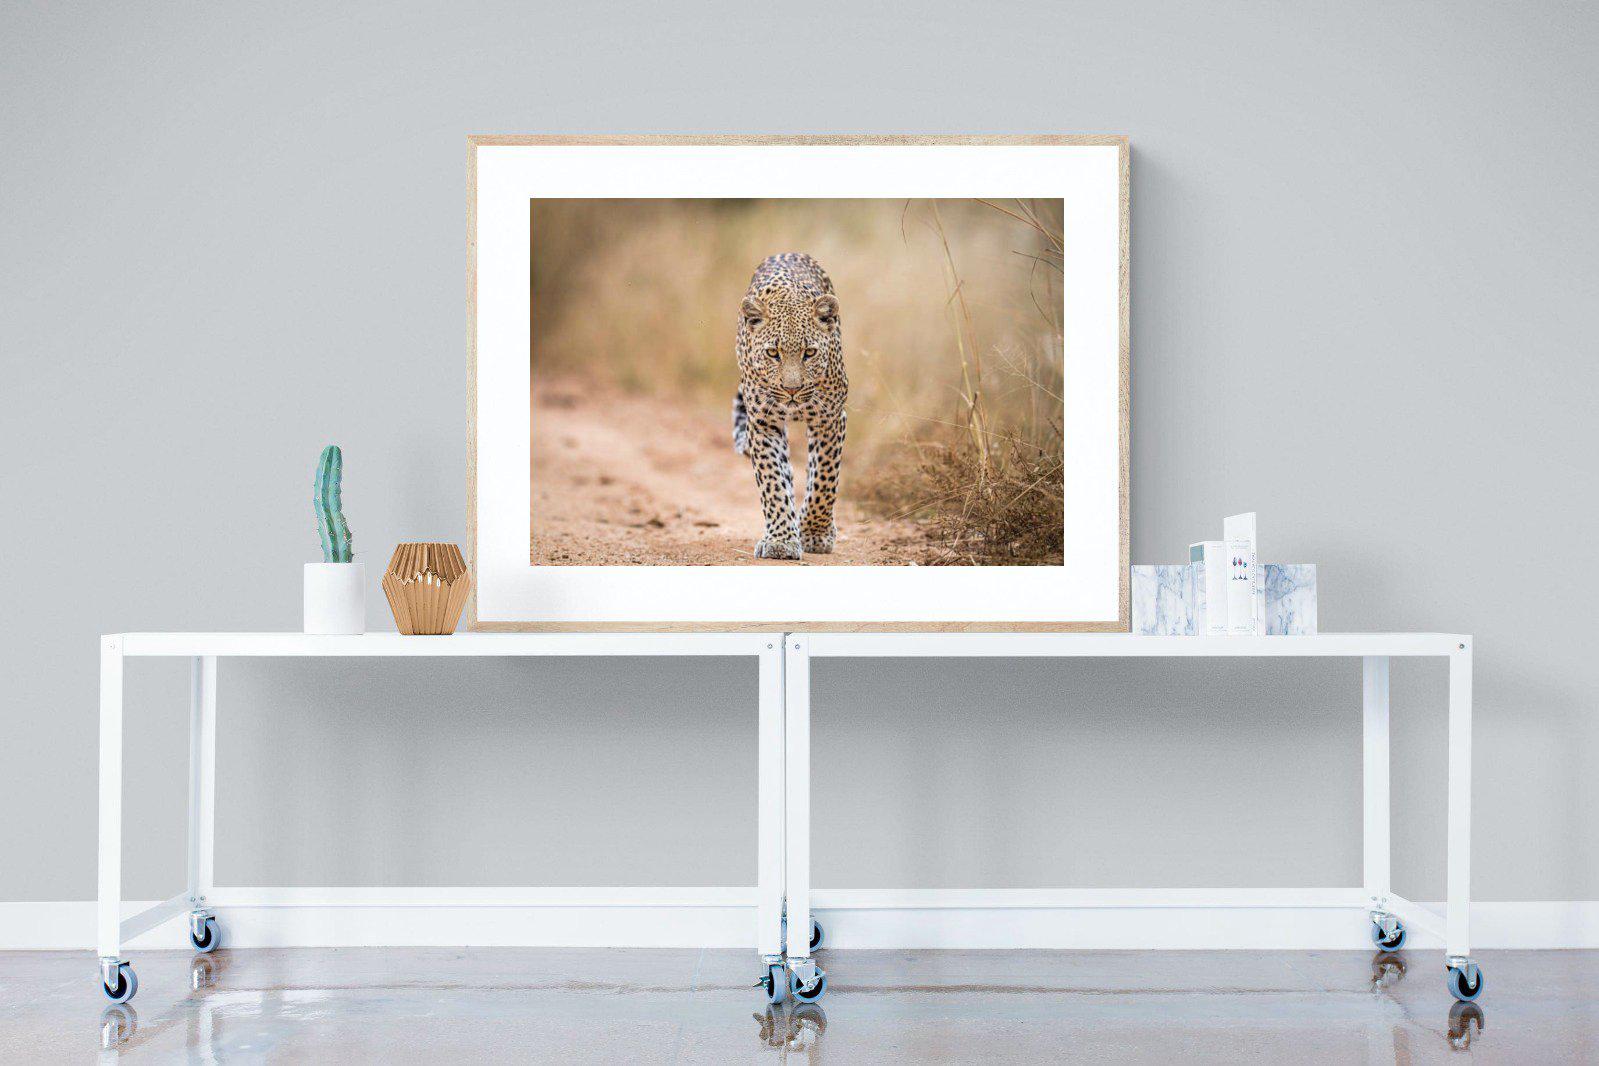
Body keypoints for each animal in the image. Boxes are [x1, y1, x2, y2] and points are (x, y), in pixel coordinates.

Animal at [731, 252, 848, 560]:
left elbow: (824, 479)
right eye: (773, 353)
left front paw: (815, 533)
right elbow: (772, 481)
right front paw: (781, 540)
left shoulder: (830, 418)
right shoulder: (763, 423)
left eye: (810, 353)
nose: (791, 389)